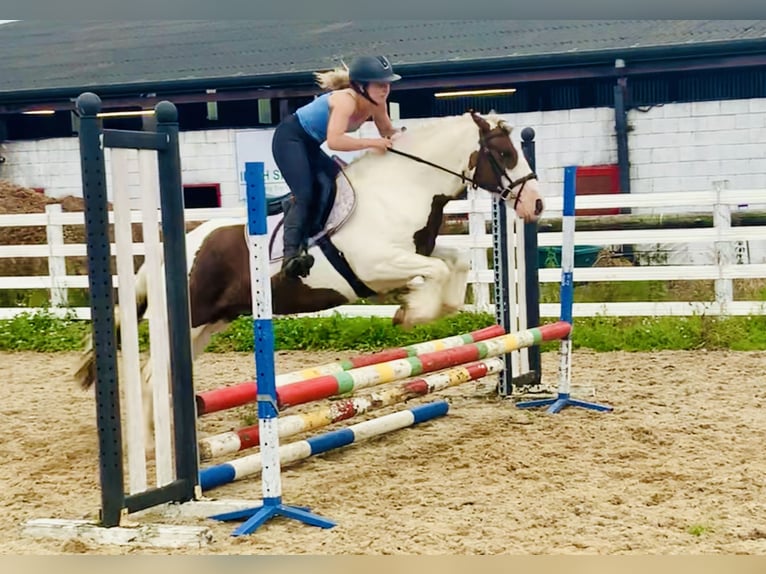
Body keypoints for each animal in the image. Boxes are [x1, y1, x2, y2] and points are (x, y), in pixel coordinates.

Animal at [73, 111, 544, 446]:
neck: (401, 190)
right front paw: (410, 313)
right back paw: (156, 447)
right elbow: (438, 271)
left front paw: (421, 308)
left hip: (211, 323)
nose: (536, 205)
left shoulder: (416, 252)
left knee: (165, 374)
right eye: (505, 155)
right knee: (151, 376)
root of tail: (183, 246)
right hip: (189, 318)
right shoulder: (377, 264)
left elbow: (456, 264)